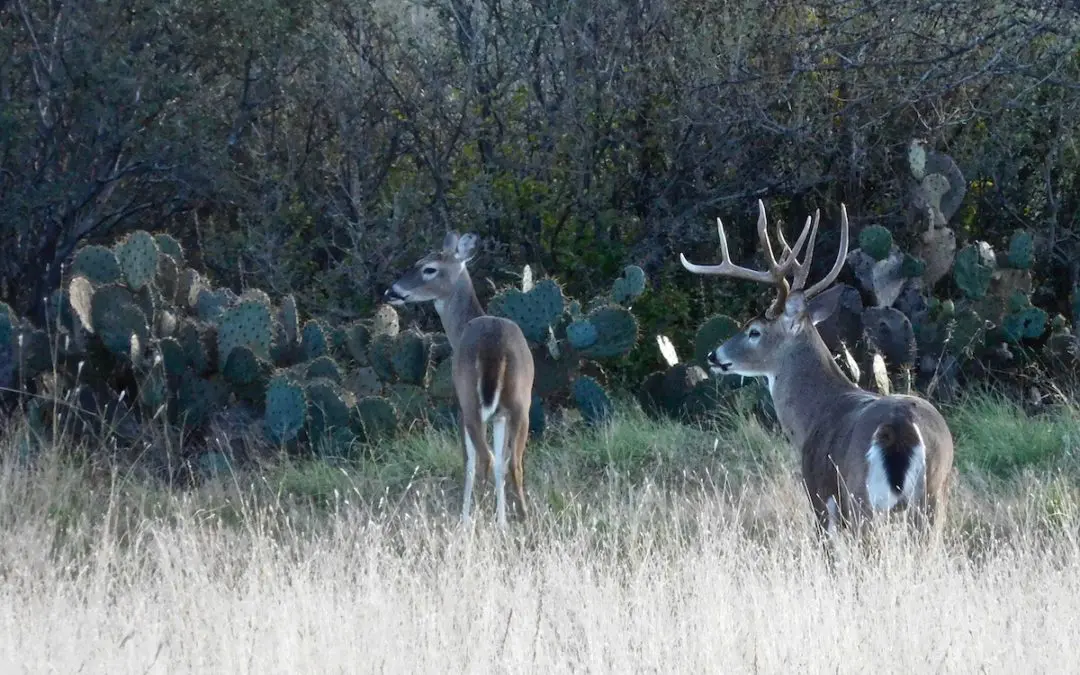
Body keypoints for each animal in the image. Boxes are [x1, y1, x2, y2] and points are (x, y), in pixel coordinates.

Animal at [384, 231, 535, 527]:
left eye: (428, 268)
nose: (392, 291)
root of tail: (494, 346)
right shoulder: (500, 415)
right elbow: (502, 463)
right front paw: (502, 522)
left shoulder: (461, 407)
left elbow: (469, 461)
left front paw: (467, 519)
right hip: (521, 404)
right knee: (513, 462)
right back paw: (523, 519)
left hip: (470, 402)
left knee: (484, 459)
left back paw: (476, 516)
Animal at [682, 199, 954, 537]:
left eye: (754, 331)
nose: (714, 355)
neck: (815, 414)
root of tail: (900, 426)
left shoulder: (818, 494)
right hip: (933, 495)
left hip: (860, 496)